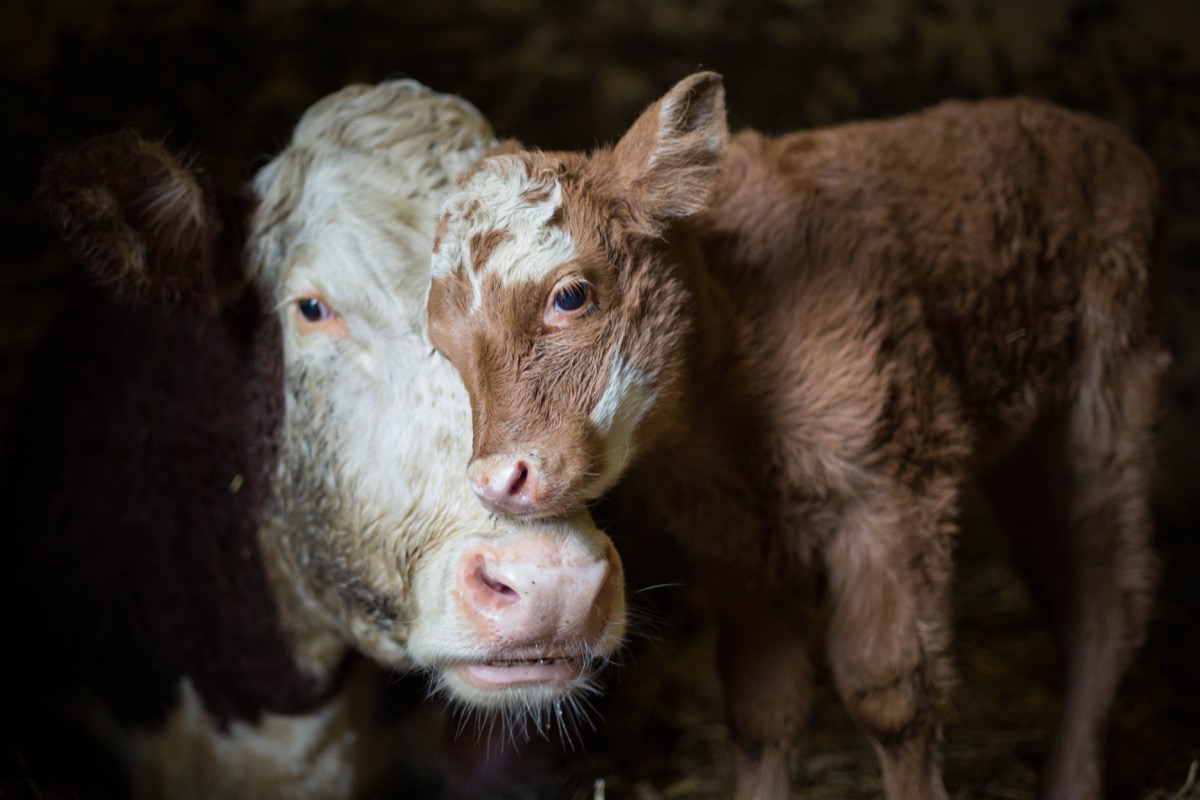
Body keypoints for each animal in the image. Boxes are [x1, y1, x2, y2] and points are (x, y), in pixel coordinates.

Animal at [425, 72, 1166, 799]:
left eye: (571, 296)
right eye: (441, 343)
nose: (499, 481)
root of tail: (1091, 133)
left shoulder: (893, 492)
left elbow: (890, 692)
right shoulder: (730, 535)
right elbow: (763, 706)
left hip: (1110, 397)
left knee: (1108, 596)